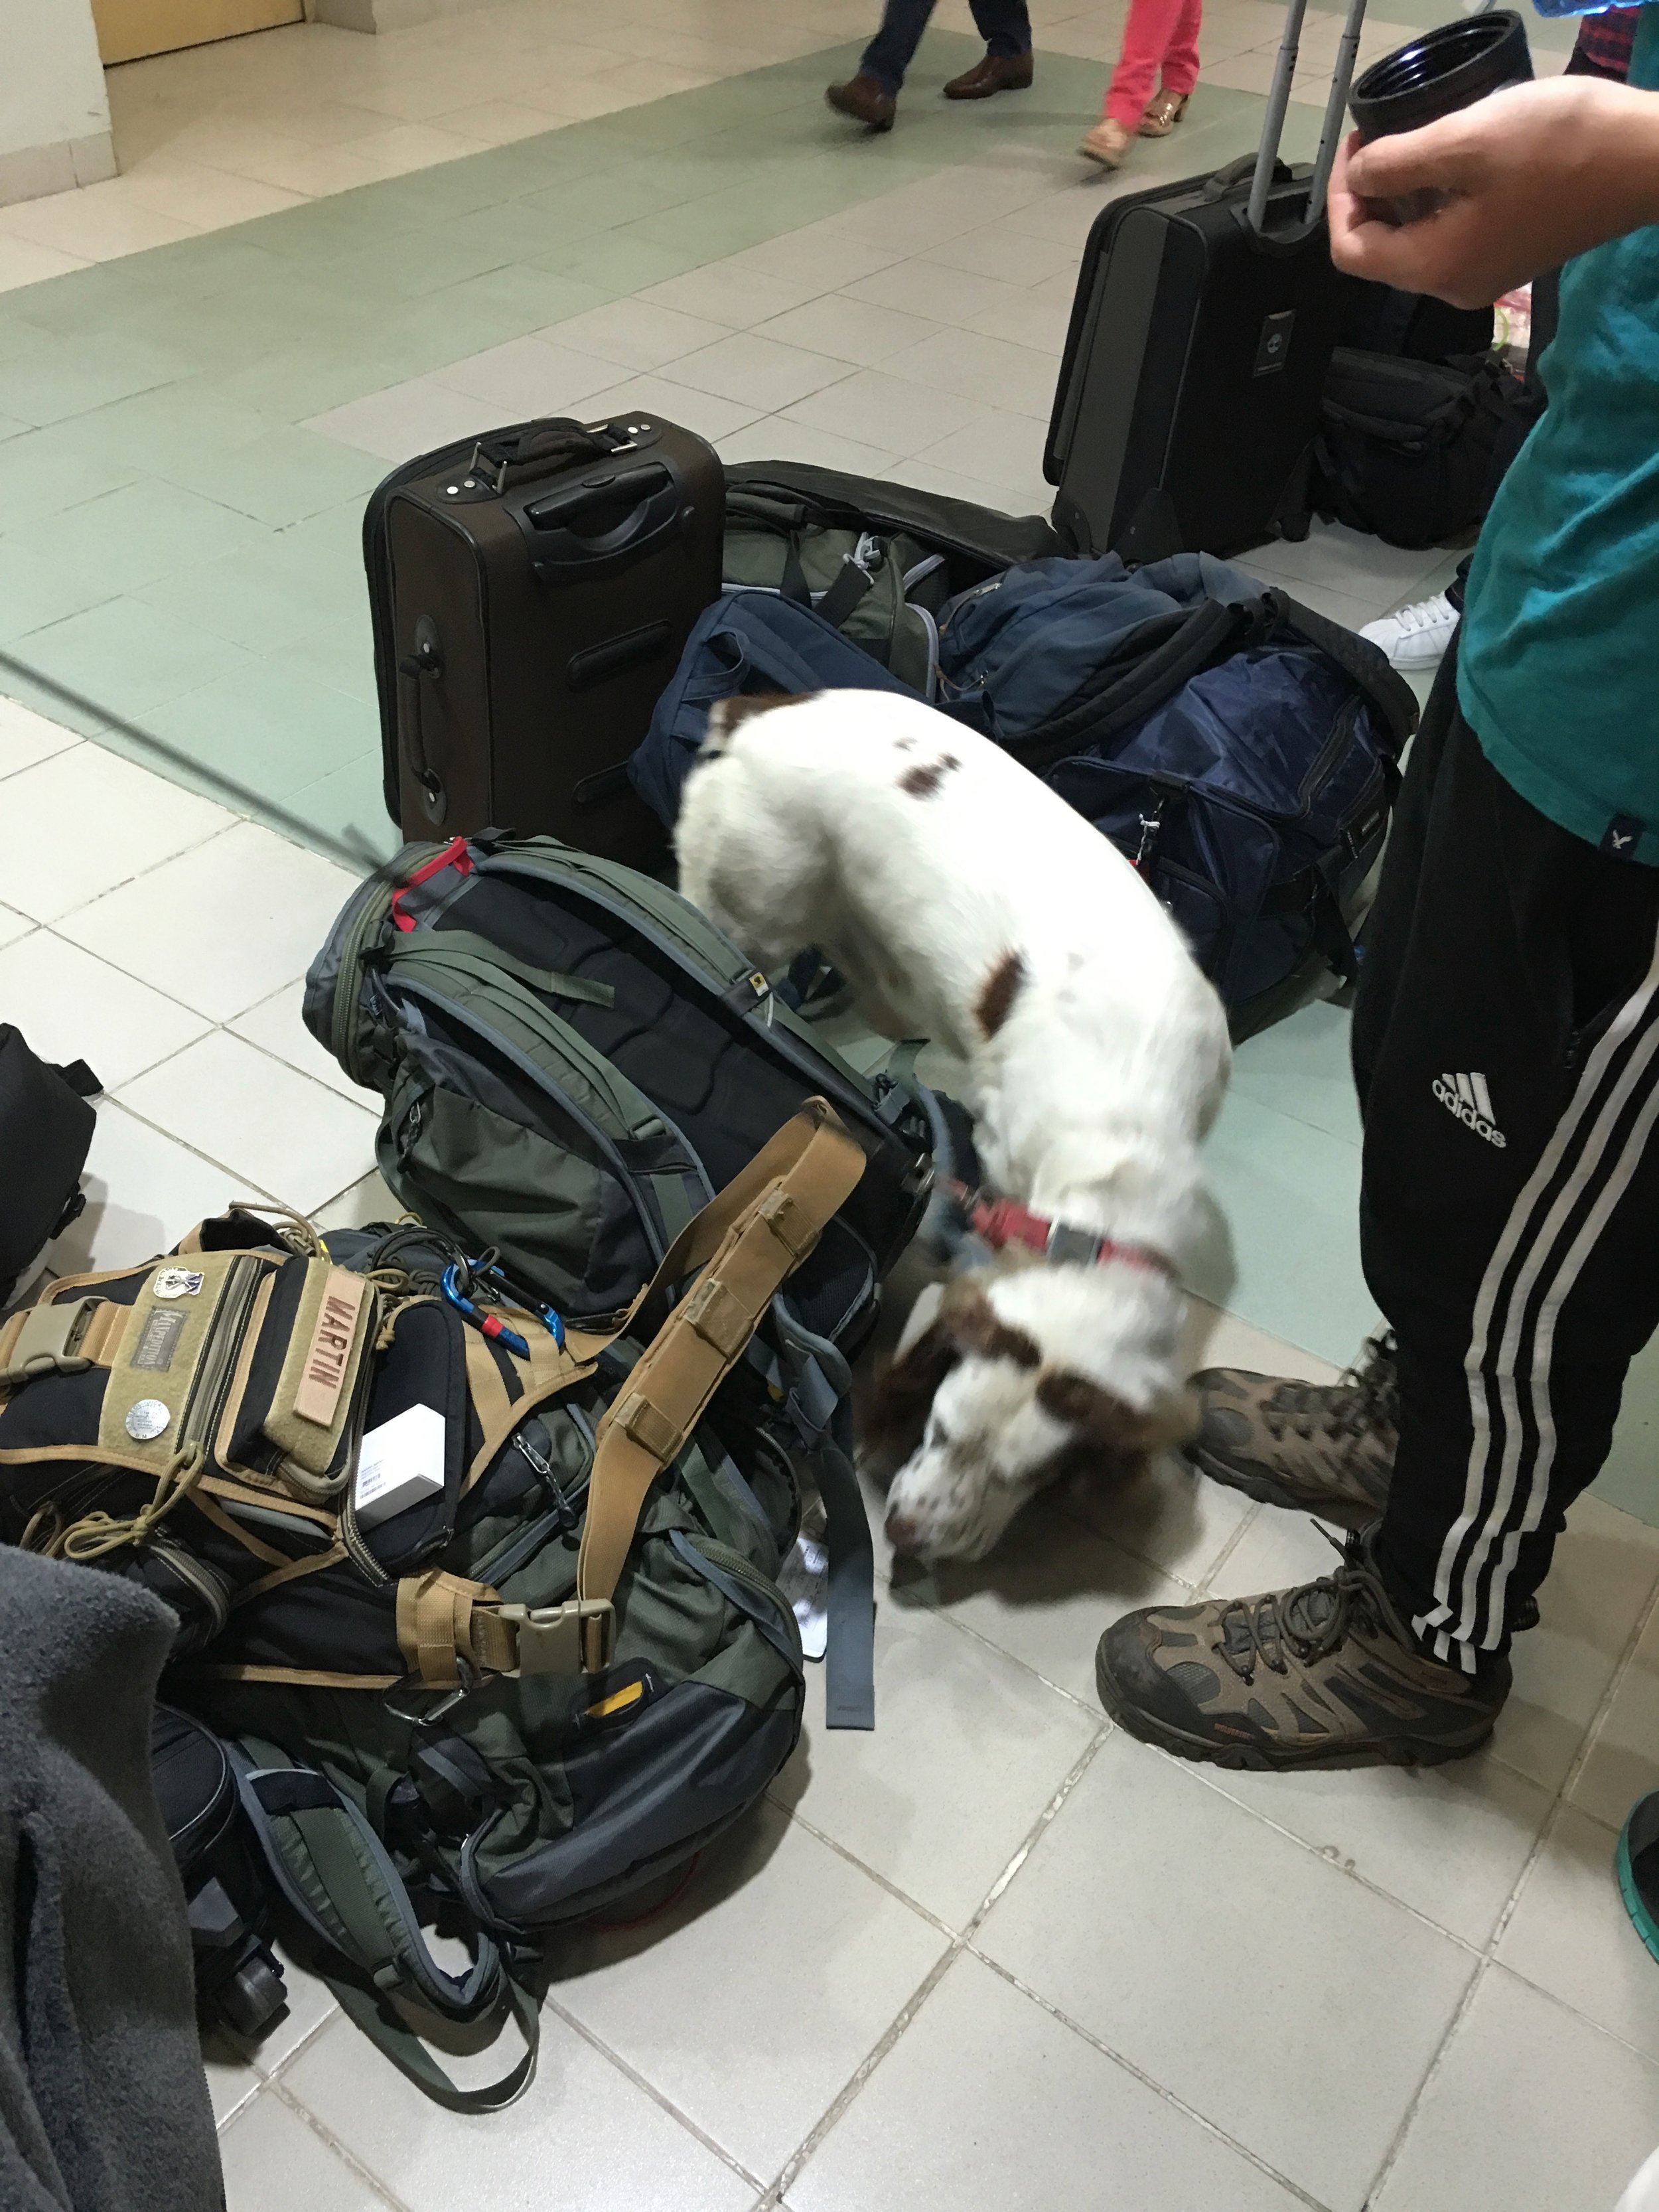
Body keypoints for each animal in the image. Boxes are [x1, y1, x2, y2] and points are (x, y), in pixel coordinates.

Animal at [677, 690, 1238, 1575]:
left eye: (1028, 1478)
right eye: (936, 1431)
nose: (907, 1537)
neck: (1119, 1145)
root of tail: (751, 710)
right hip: (744, 909)